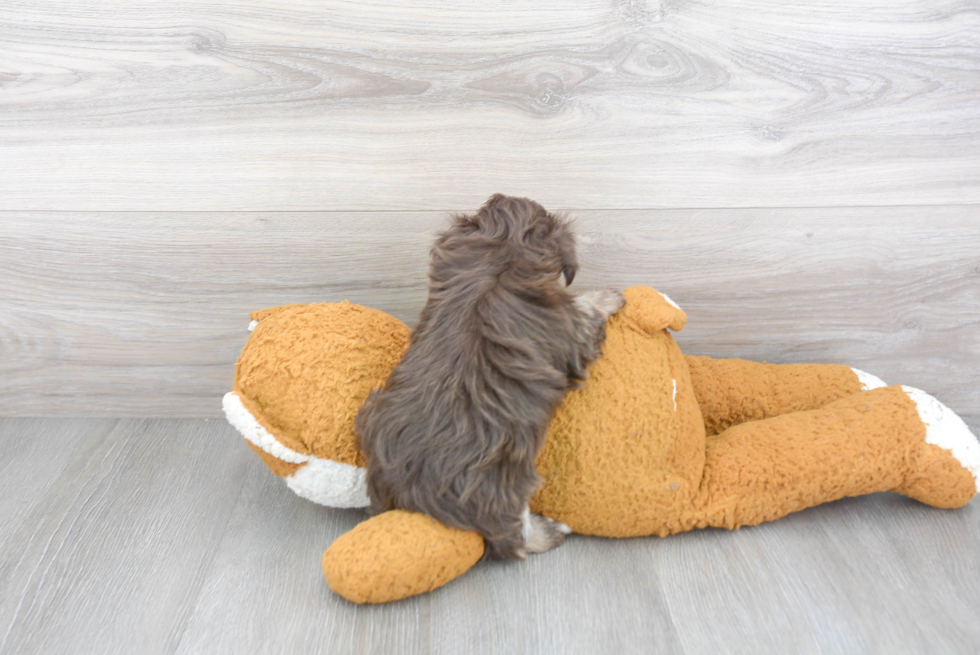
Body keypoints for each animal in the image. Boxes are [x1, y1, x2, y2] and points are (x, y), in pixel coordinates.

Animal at [356, 195, 624, 560]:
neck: (500, 256)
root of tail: (410, 494)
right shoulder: (572, 328)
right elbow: (585, 307)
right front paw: (610, 297)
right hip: (502, 485)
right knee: (514, 539)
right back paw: (550, 531)